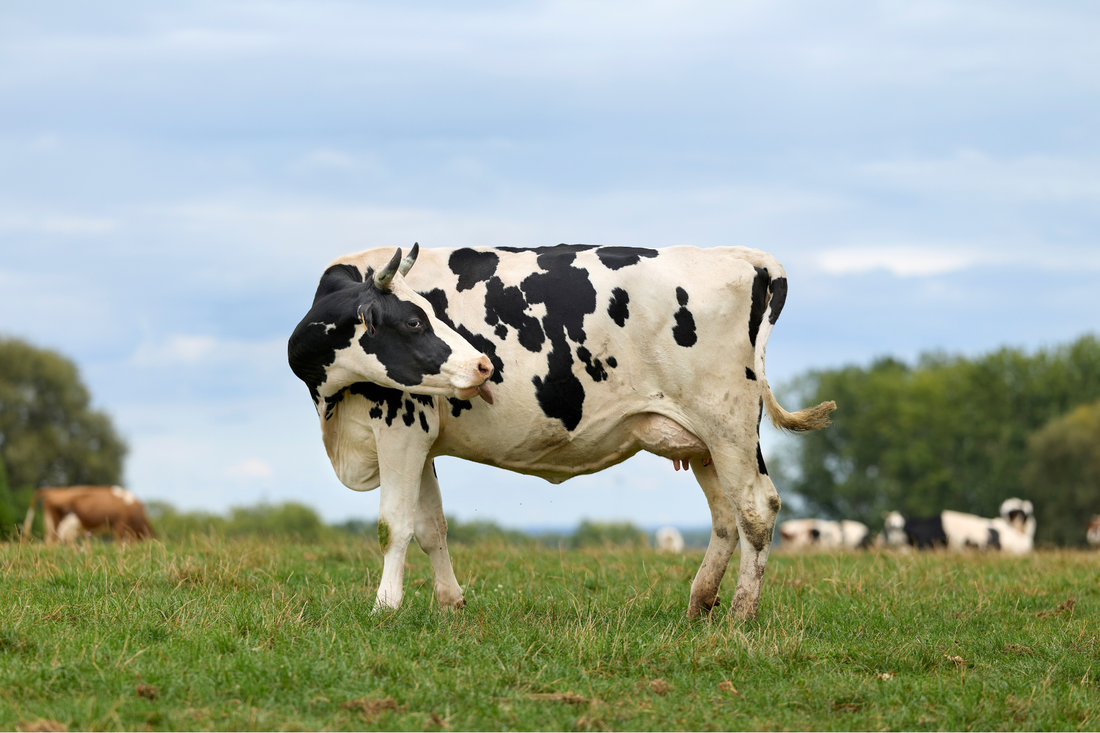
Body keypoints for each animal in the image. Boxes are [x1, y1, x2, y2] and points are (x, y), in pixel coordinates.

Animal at [288, 243, 835, 619]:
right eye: (414, 322)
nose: (483, 364)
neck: (332, 408)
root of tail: (742, 256)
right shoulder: (423, 439)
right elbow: (431, 528)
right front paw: (450, 603)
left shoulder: (401, 420)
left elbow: (393, 525)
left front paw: (385, 607)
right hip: (700, 439)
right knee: (725, 516)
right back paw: (700, 603)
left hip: (728, 424)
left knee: (755, 509)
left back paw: (742, 614)